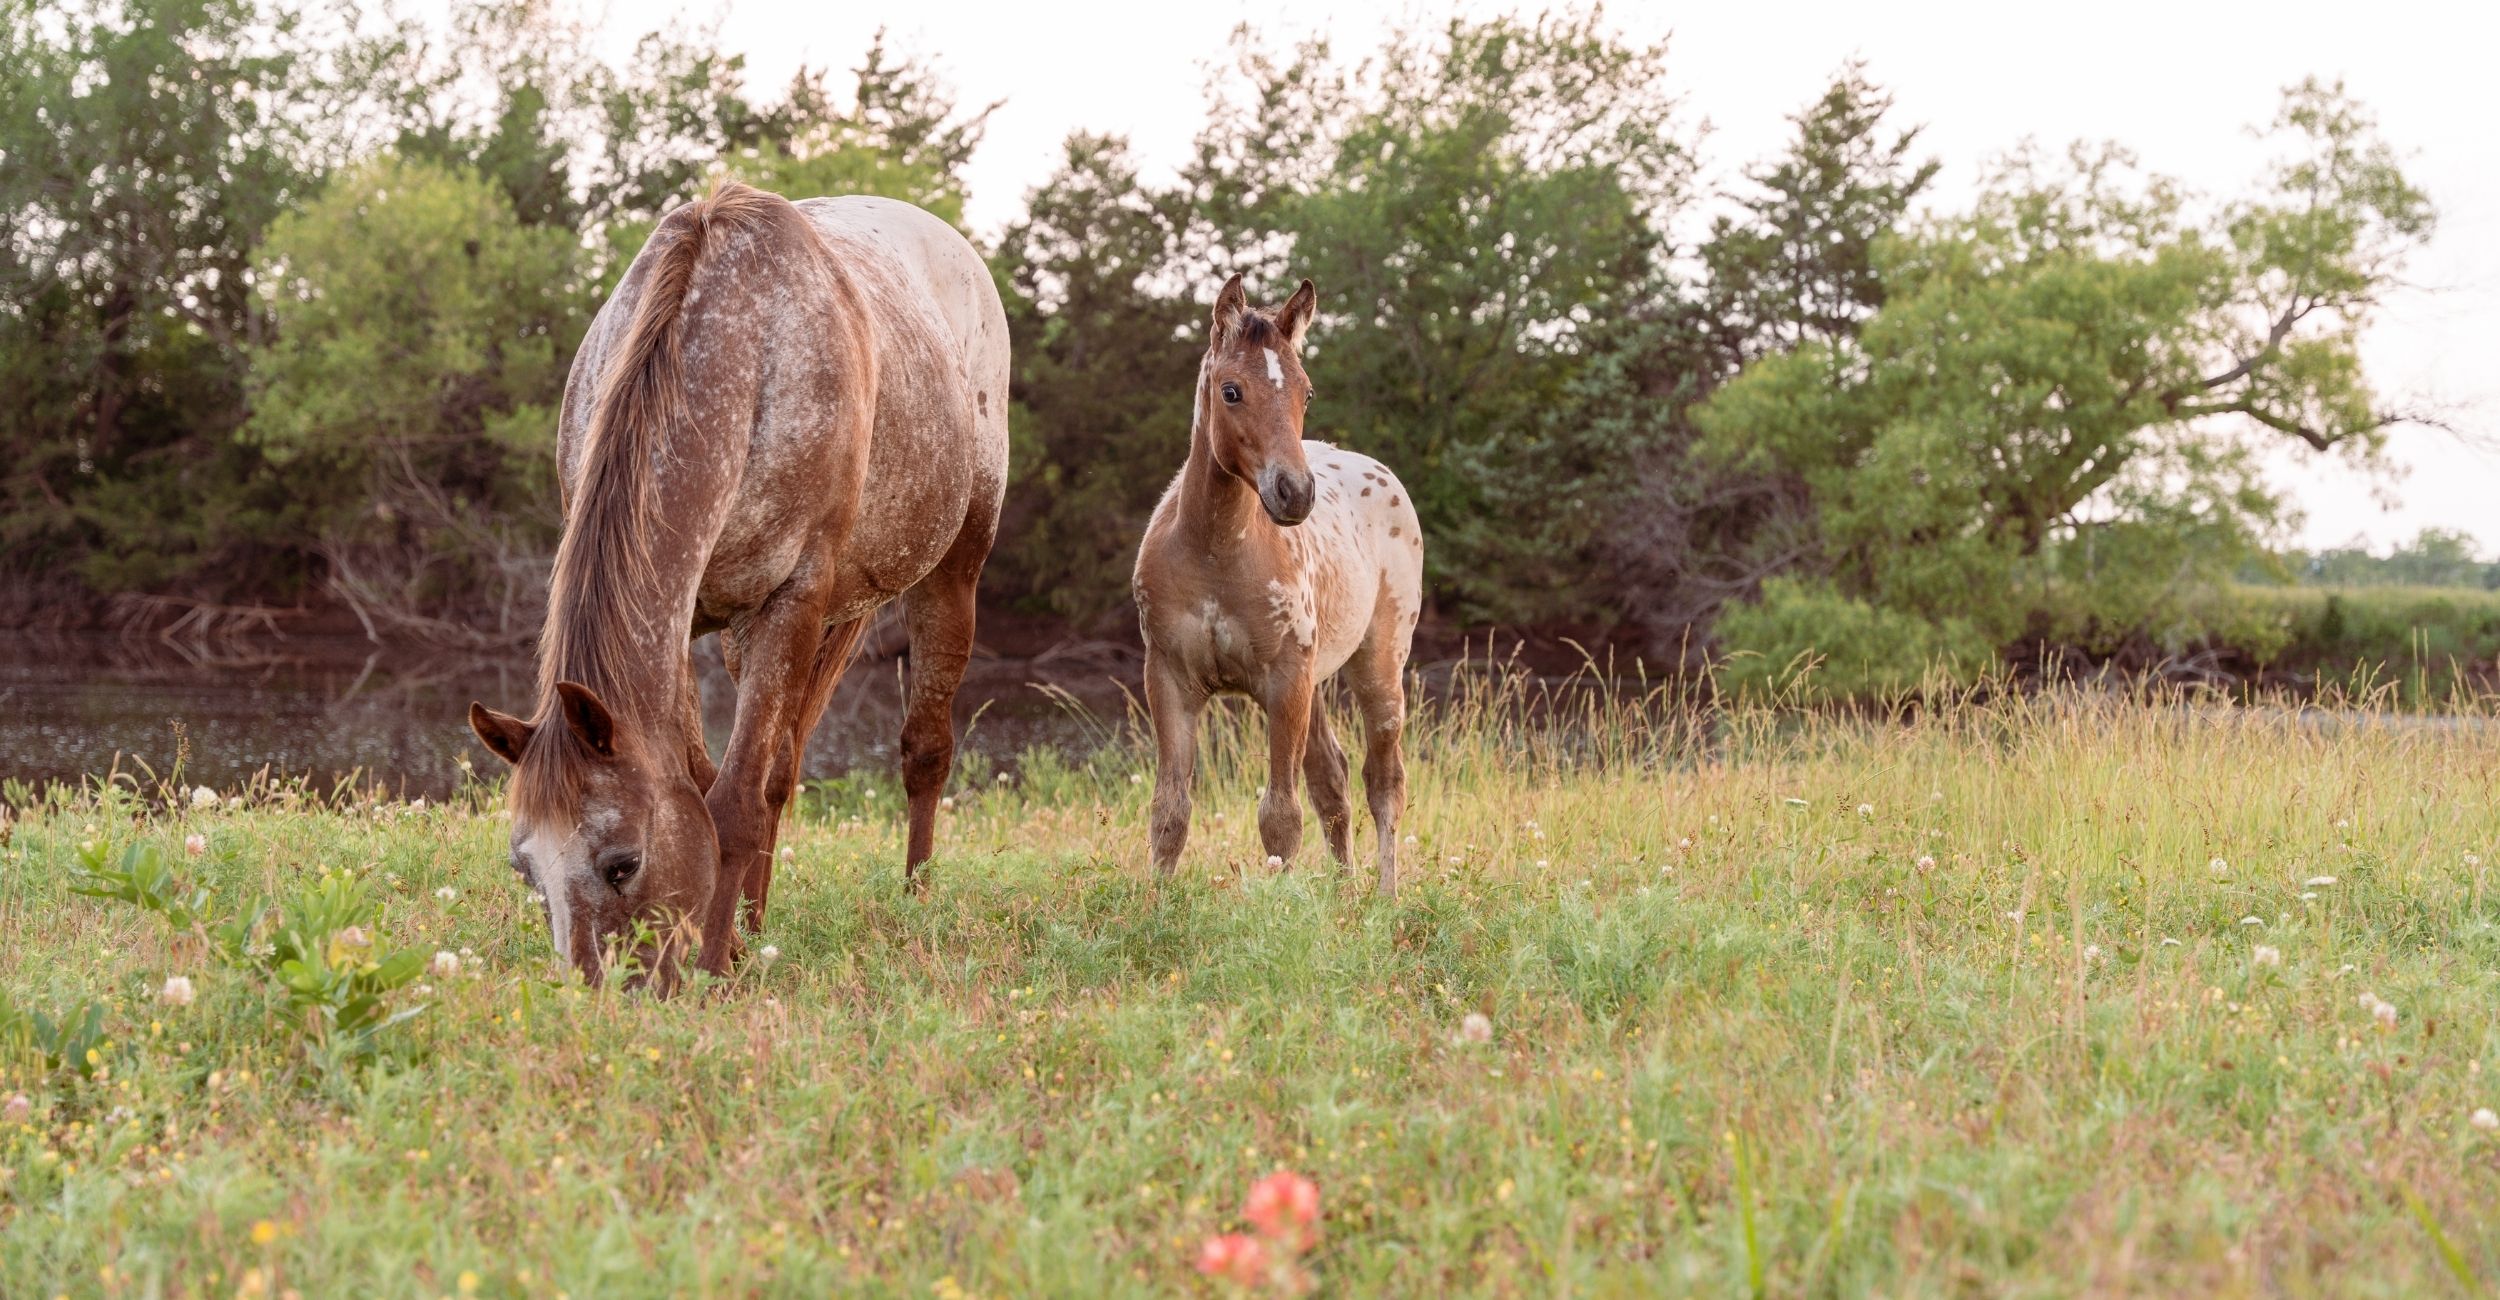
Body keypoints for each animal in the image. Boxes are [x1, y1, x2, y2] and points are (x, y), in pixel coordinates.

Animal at [467, 181, 1009, 986]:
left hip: (949, 574)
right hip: (746, 637)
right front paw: (724, 944)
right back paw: (755, 925)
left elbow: (731, 806)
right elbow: (707, 781)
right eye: (525, 871)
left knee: (922, 751)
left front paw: (712, 970)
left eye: (623, 863)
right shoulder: (684, 620)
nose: (599, 997)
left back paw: (915, 901)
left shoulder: (793, 600)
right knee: (781, 770)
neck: (743, 356)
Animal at [1132, 274, 1424, 892]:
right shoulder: (1168, 678)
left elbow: (1280, 817)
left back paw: (1386, 897)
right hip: (1316, 680)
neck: (1216, 550)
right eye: (1231, 391)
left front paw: (1279, 908)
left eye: (1305, 393)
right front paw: (1154, 904)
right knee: (1333, 780)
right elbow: (1170, 812)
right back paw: (1345, 895)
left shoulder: (1284, 680)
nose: (1295, 493)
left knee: (1383, 782)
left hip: (1378, 664)